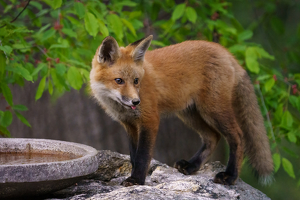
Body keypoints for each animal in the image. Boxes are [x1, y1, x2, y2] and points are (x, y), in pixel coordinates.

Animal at [89, 35, 274, 187]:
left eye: (135, 81)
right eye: (119, 80)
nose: (136, 101)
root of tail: (226, 53)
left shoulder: (149, 120)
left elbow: (142, 156)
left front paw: (136, 180)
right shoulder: (129, 124)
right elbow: (134, 156)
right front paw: (134, 176)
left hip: (212, 110)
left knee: (238, 136)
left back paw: (230, 176)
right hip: (189, 114)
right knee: (213, 137)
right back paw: (192, 166)